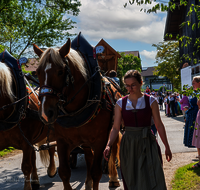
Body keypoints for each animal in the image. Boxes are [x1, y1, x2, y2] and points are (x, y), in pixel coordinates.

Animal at [0, 61, 57, 189]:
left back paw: (51, 170)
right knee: (34, 158)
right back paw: (35, 180)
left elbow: (26, 167)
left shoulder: (26, 142)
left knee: (51, 148)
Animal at [33, 38, 122, 190]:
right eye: (38, 72)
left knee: (113, 150)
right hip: (85, 142)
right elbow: (64, 172)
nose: (45, 113)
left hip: (113, 131)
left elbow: (97, 172)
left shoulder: (100, 140)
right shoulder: (62, 141)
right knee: (88, 157)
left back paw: (114, 178)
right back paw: (88, 182)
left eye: (60, 72)